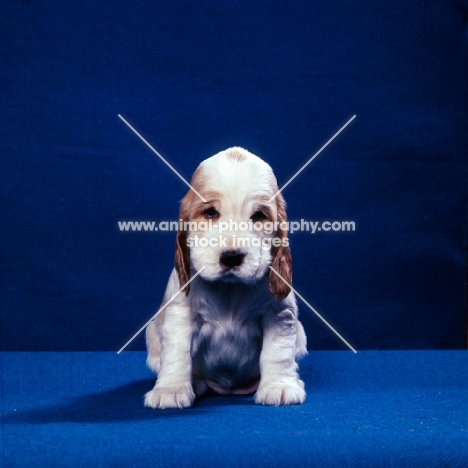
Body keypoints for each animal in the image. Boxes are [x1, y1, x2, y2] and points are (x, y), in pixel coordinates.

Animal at [145, 147, 308, 410]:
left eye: (258, 215)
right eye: (211, 212)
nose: (232, 258)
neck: (229, 290)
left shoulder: (278, 314)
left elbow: (277, 352)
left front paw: (279, 386)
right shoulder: (180, 315)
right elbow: (177, 353)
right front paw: (170, 390)